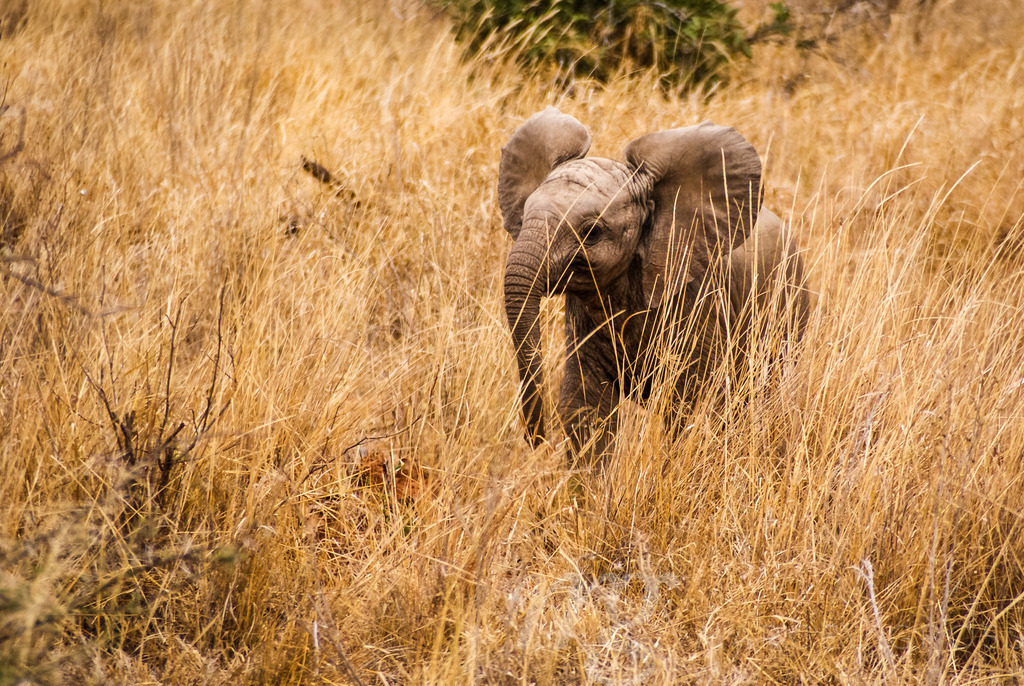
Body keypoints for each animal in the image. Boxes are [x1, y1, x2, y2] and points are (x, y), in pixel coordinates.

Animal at [499, 107, 809, 464]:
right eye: (524, 215)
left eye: (592, 232)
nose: (535, 439)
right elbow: (586, 409)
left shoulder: (700, 300)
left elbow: (691, 407)